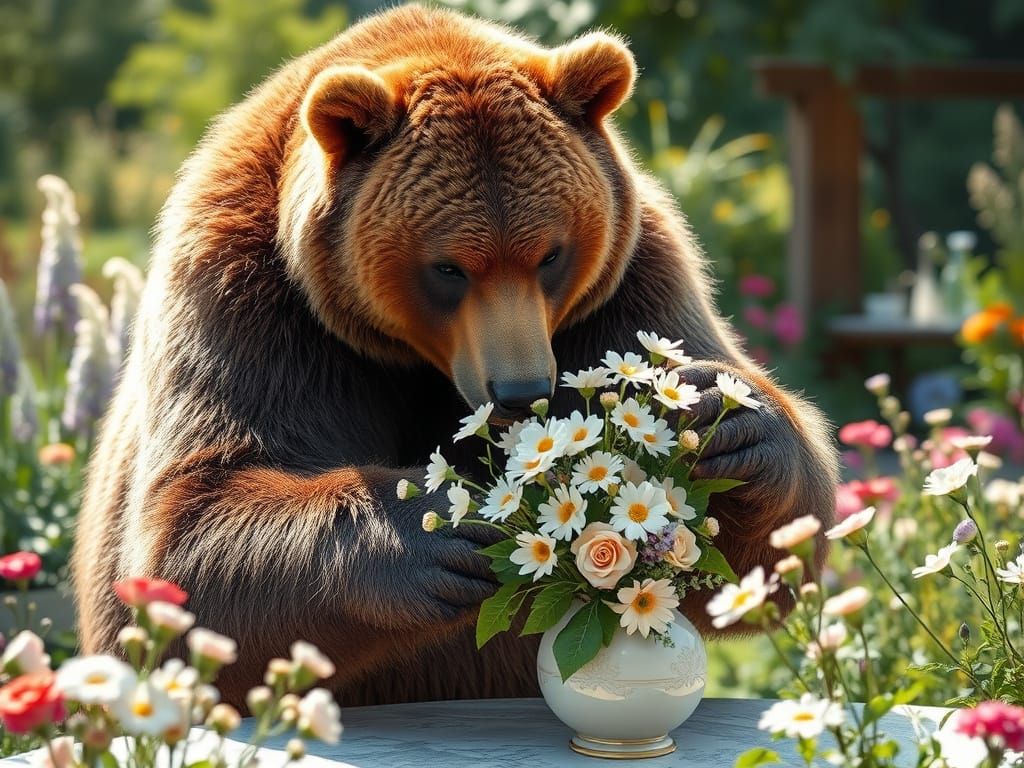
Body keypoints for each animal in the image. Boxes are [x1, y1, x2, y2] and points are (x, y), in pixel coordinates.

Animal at [72, 4, 838, 706]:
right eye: (448, 268)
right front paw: (451, 528)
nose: (521, 389)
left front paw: (722, 421)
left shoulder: (630, 283)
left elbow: (760, 554)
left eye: (551, 254)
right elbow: (193, 529)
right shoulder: (252, 307)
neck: (414, 361)